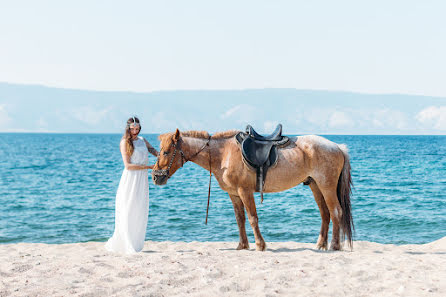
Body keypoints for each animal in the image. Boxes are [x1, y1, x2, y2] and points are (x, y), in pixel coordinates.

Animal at [152, 128, 354, 251]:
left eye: (166, 152)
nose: (155, 176)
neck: (223, 154)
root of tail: (337, 146)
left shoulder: (245, 191)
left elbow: (252, 218)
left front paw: (260, 244)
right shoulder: (234, 194)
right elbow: (240, 220)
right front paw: (242, 245)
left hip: (326, 186)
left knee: (336, 212)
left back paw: (335, 245)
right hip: (315, 186)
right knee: (325, 214)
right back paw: (321, 244)